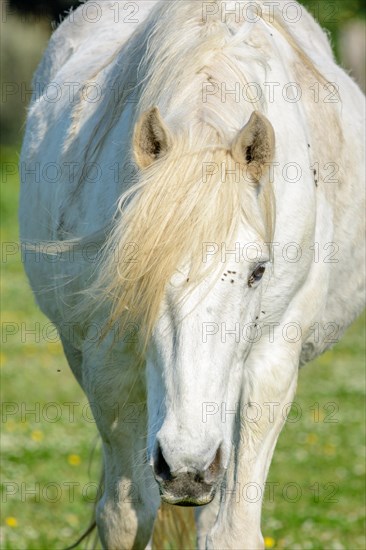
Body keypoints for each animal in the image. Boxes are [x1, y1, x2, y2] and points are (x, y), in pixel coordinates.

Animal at [20, 2, 366, 548]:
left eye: (258, 271)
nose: (186, 469)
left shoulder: (269, 368)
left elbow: (232, 530)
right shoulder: (109, 366)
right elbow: (125, 516)